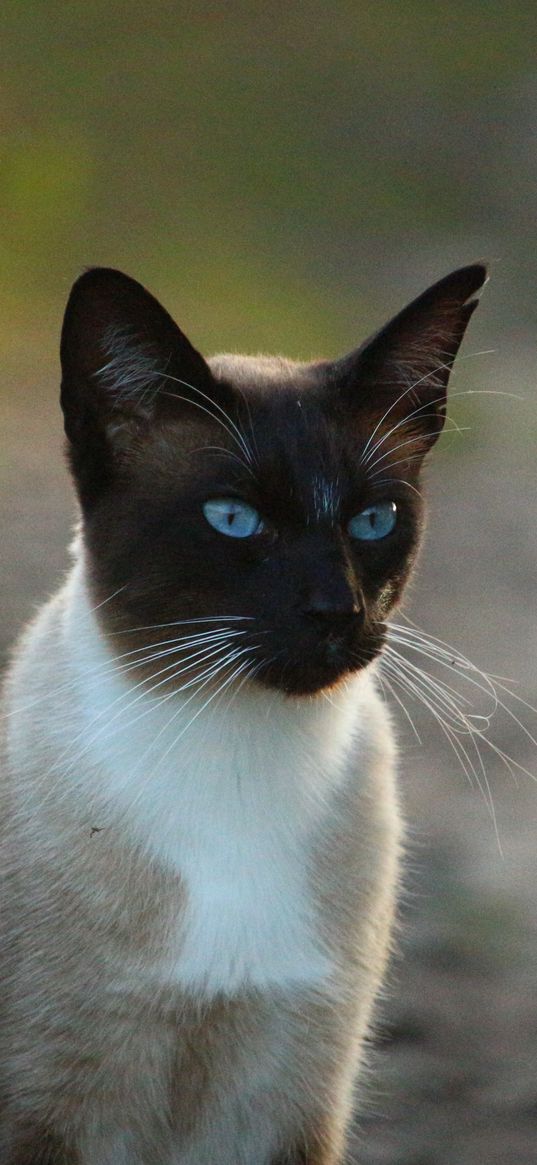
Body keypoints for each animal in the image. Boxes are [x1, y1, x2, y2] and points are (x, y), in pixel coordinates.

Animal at [0, 264, 484, 1165]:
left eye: (373, 520)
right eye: (233, 518)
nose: (336, 610)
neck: (236, 760)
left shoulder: (288, 1110)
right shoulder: (47, 1110)